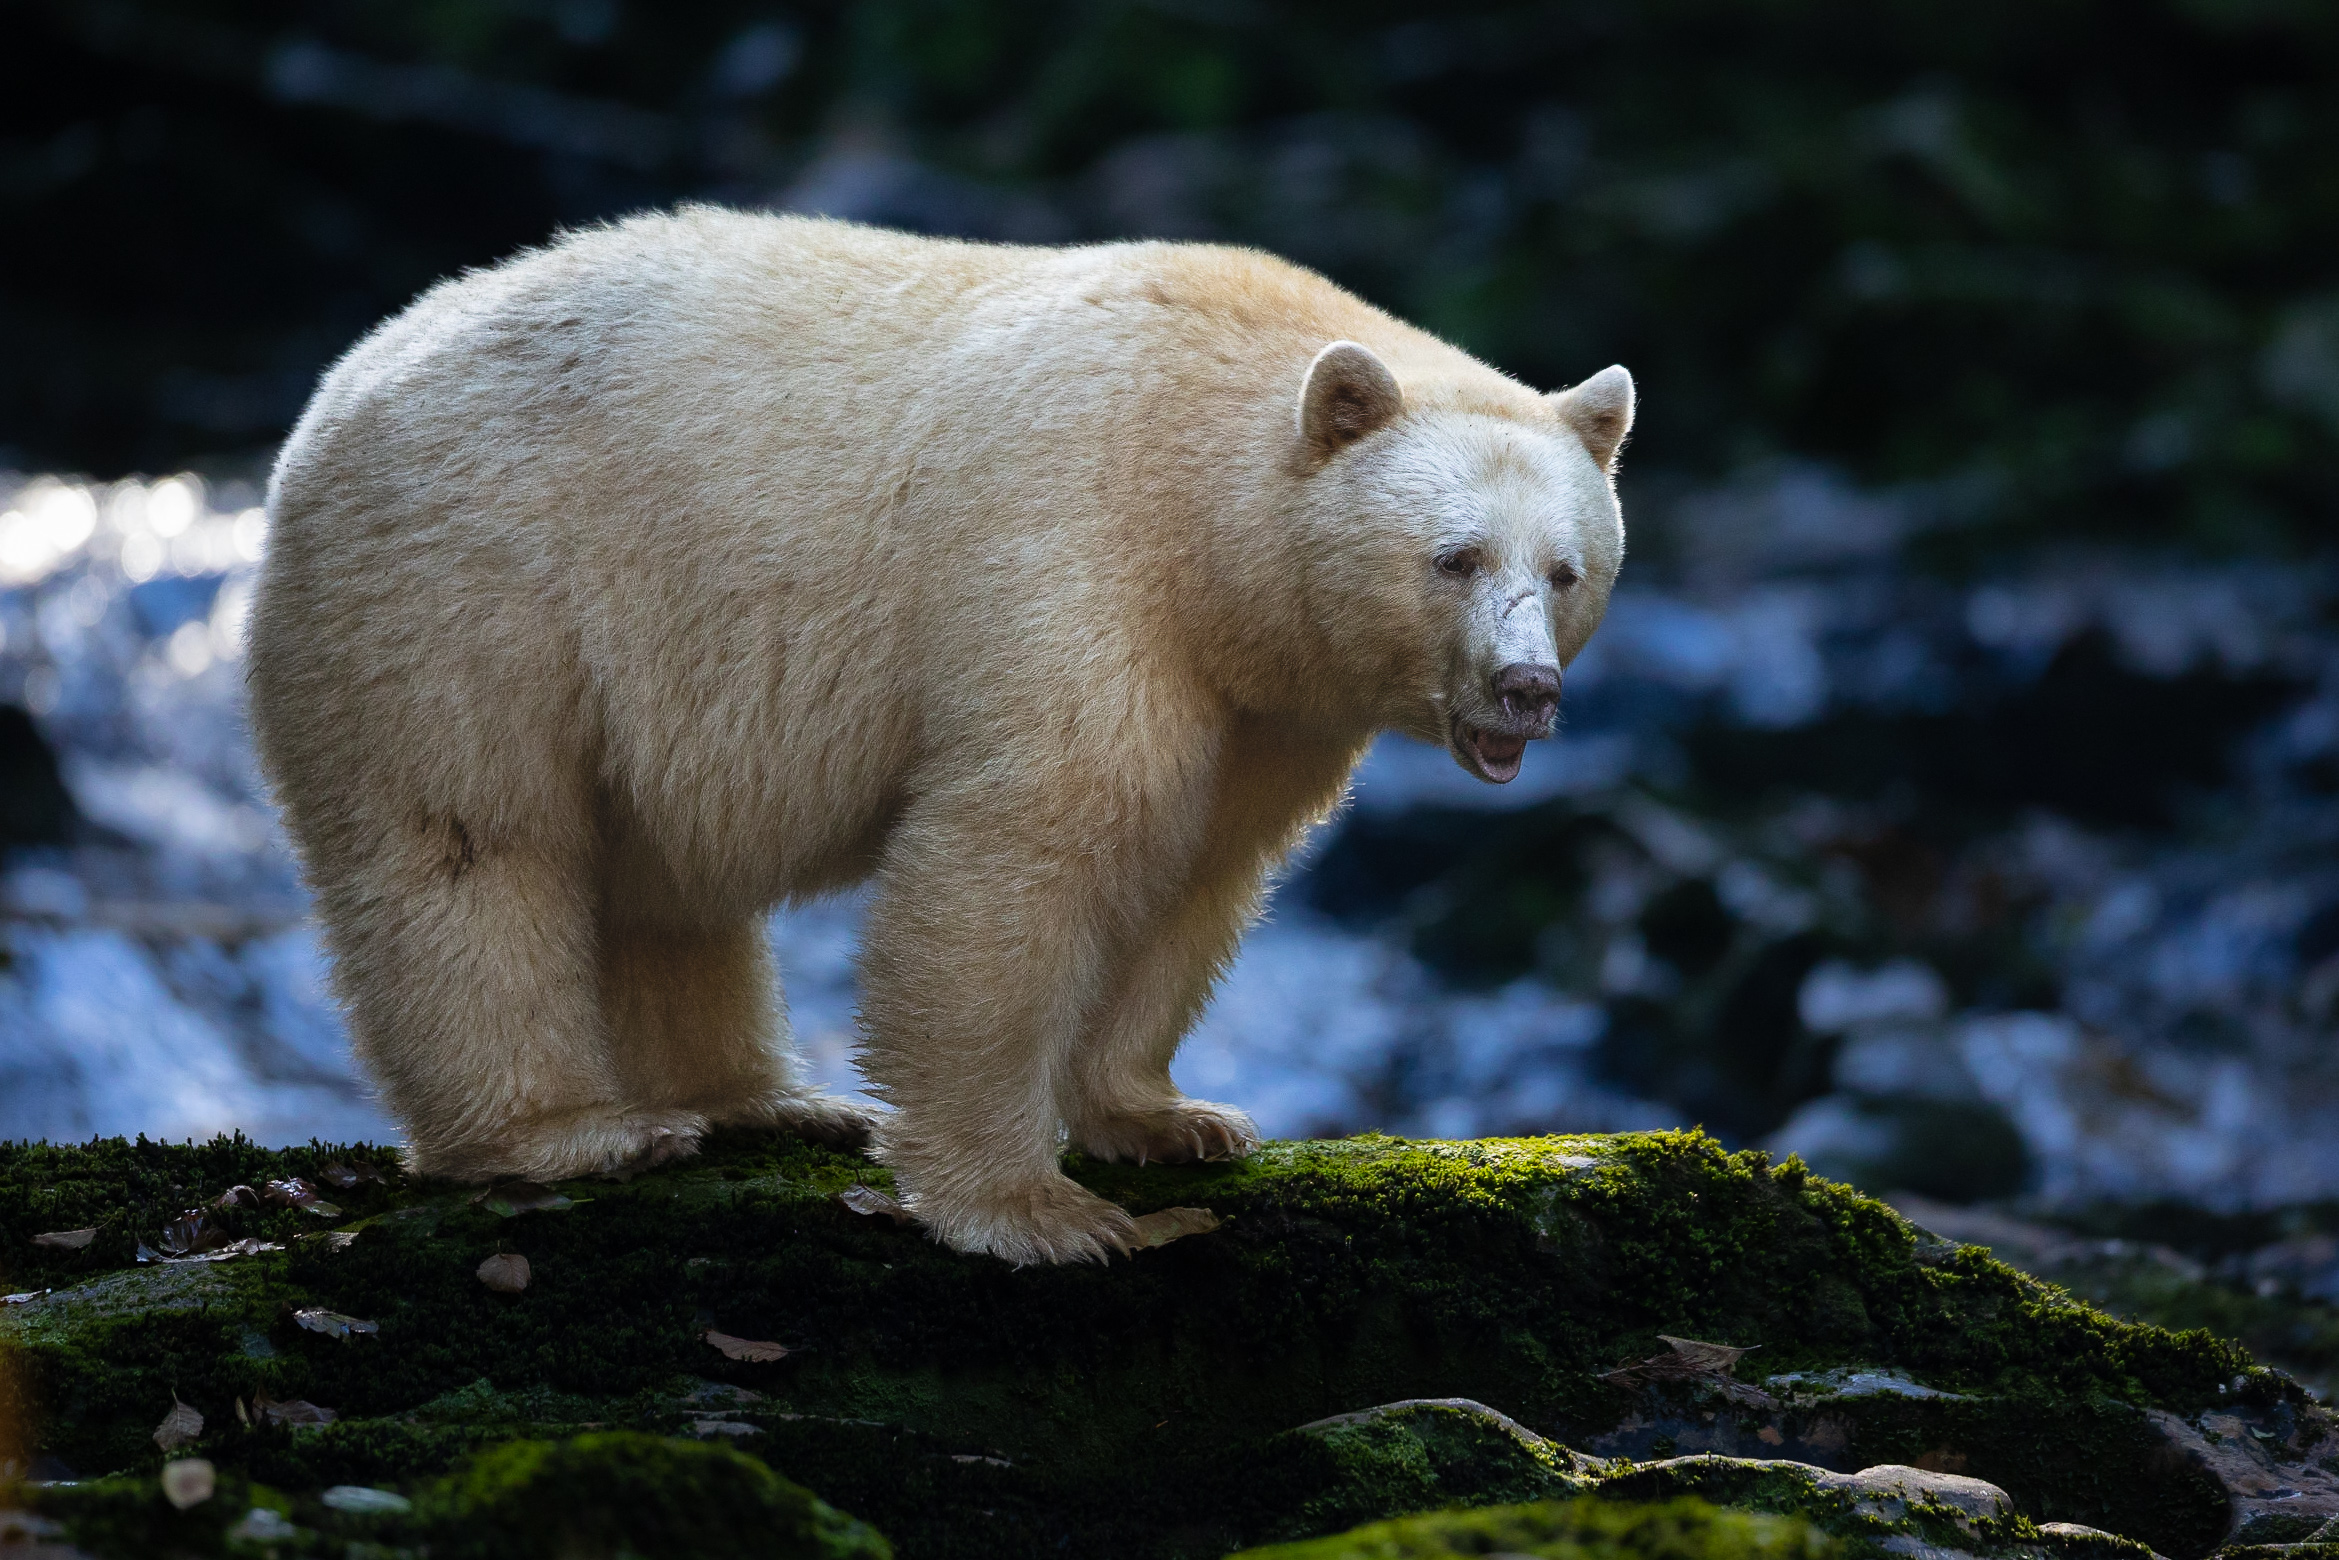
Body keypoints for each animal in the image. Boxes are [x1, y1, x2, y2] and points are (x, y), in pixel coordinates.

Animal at [246, 206, 1633, 1264]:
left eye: (1565, 570)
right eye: (1453, 557)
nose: (1524, 689)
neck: (1197, 495)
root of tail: (349, 375)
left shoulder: (1260, 702)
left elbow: (1195, 873)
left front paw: (1171, 1116)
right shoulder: (1070, 559)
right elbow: (1027, 847)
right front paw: (1038, 1210)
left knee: (660, 884)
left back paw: (760, 1100)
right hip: (473, 586)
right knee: (470, 838)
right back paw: (567, 1130)